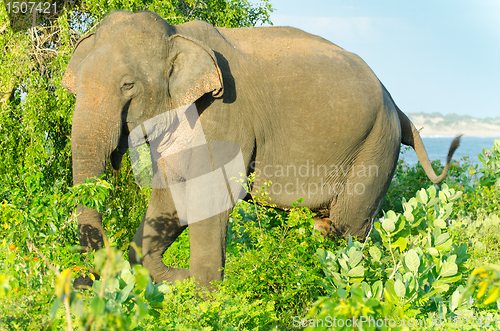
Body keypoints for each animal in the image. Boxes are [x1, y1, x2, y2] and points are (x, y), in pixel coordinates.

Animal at [60, 10, 458, 290]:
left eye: (128, 85)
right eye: (75, 87)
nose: (85, 282)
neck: (177, 34)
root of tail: (395, 103)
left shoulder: (223, 115)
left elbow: (211, 198)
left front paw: (204, 298)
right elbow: (169, 200)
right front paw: (178, 277)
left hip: (376, 145)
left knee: (349, 228)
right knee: (325, 227)